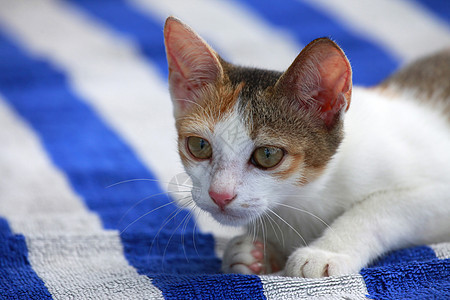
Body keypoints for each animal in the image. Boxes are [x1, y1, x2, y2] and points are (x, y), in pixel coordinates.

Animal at [163, 16, 450, 278]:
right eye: (199, 145)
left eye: (268, 154)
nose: (219, 195)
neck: (306, 196)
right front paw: (250, 252)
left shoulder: (438, 193)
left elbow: (379, 207)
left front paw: (326, 251)